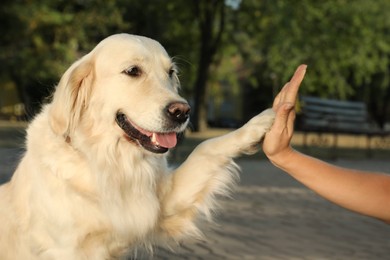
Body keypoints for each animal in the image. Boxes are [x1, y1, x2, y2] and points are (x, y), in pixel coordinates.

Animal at [0, 33, 274, 258]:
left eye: (170, 72)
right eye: (133, 70)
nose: (183, 111)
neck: (111, 160)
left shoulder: (162, 205)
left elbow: (205, 148)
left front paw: (259, 124)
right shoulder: (65, 248)